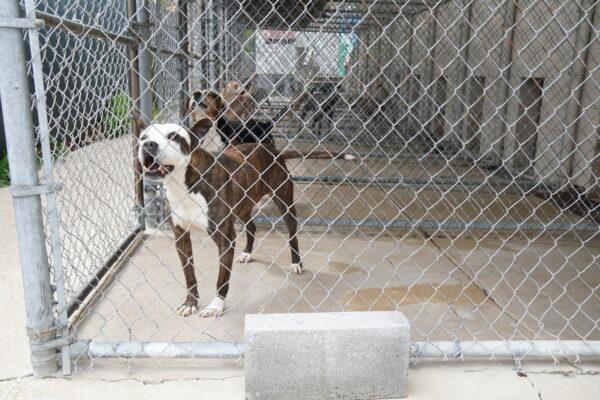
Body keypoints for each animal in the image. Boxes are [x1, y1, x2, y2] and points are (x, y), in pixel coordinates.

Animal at [137, 114, 352, 318]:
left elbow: (222, 279)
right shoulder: (181, 236)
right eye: (143, 137)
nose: (148, 145)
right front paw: (190, 303)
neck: (184, 186)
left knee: (292, 233)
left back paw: (296, 263)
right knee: (252, 226)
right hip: (243, 206)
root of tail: (274, 151)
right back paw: (248, 252)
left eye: (173, 136)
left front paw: (216, 306)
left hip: (284, 202)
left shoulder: (225, 239)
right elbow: (189, 275)